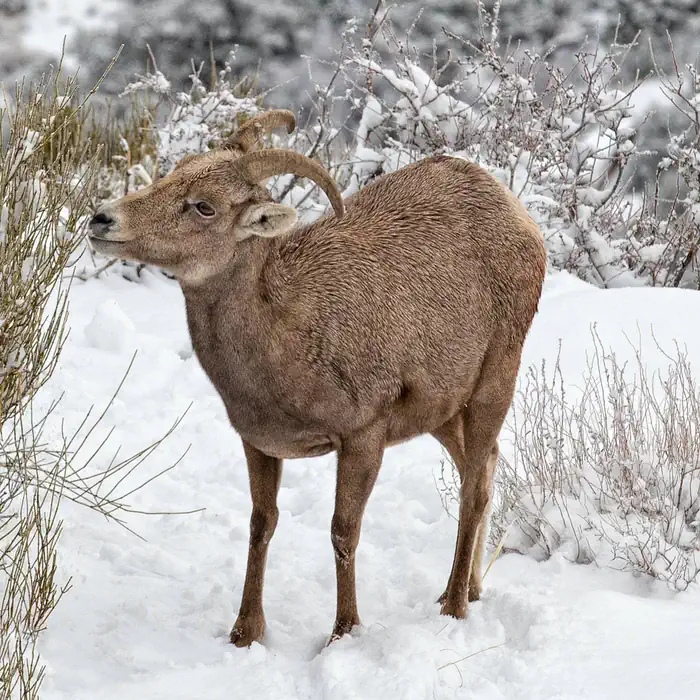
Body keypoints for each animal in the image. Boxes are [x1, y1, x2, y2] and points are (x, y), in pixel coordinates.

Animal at [88, 109, 547, 647]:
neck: (291, 332)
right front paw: (245, 633)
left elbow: (342, 532)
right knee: (485, 469)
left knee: (474, 488)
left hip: (495, 383)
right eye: (171, 174)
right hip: (442, 414)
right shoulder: (259, 445)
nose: (102, 220)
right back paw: (468, 590)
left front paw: (343, 633)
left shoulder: (363, 438)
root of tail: (516, 212)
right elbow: (261, 526)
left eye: (204, 207)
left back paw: (453, 607)